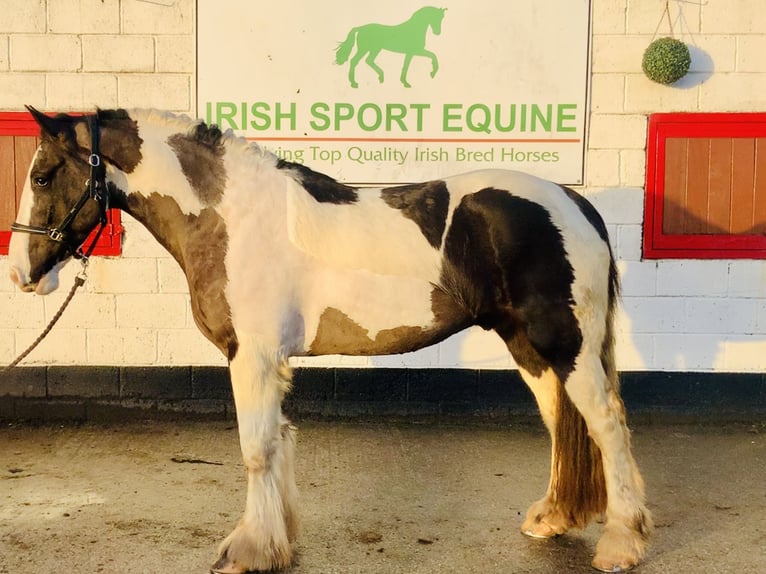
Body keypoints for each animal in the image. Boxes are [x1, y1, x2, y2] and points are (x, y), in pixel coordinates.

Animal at [9, 109, 652, 574]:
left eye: (42, 176)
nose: (21, 275)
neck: (232, 218)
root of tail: (576, 203)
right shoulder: (268, 361)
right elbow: (278, 443)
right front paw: (277, 540)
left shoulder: (251, 357)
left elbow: (256, 449)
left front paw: (247, 551)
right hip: (529, 349)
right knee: (562, 421)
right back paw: (552, 518)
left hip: (565, 345)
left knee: (607, 425)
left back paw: (621, 544)